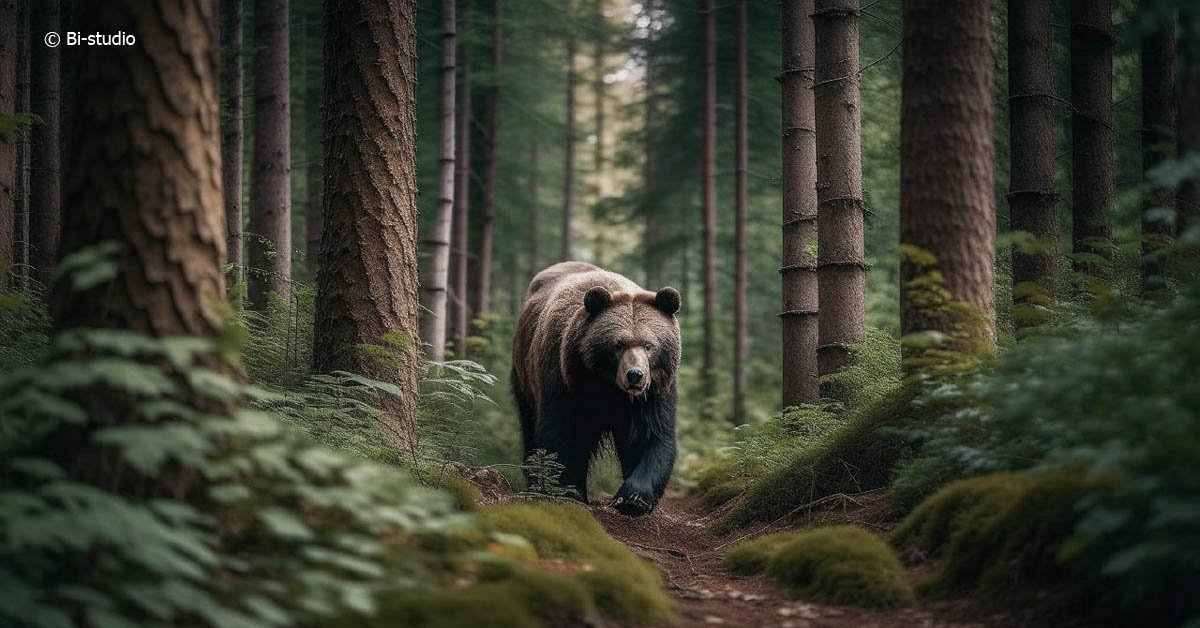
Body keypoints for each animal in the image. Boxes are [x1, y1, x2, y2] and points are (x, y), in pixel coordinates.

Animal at [511, 260, 681, 516]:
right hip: (524, 376)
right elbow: (562, 434)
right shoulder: (566, 381)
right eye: (618, 344)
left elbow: (650, 436)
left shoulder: (653, 394)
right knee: (529, 426)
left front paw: (633, 498)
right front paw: (569, 491)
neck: (608, 388)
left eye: (649, 345)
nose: (635, 375)